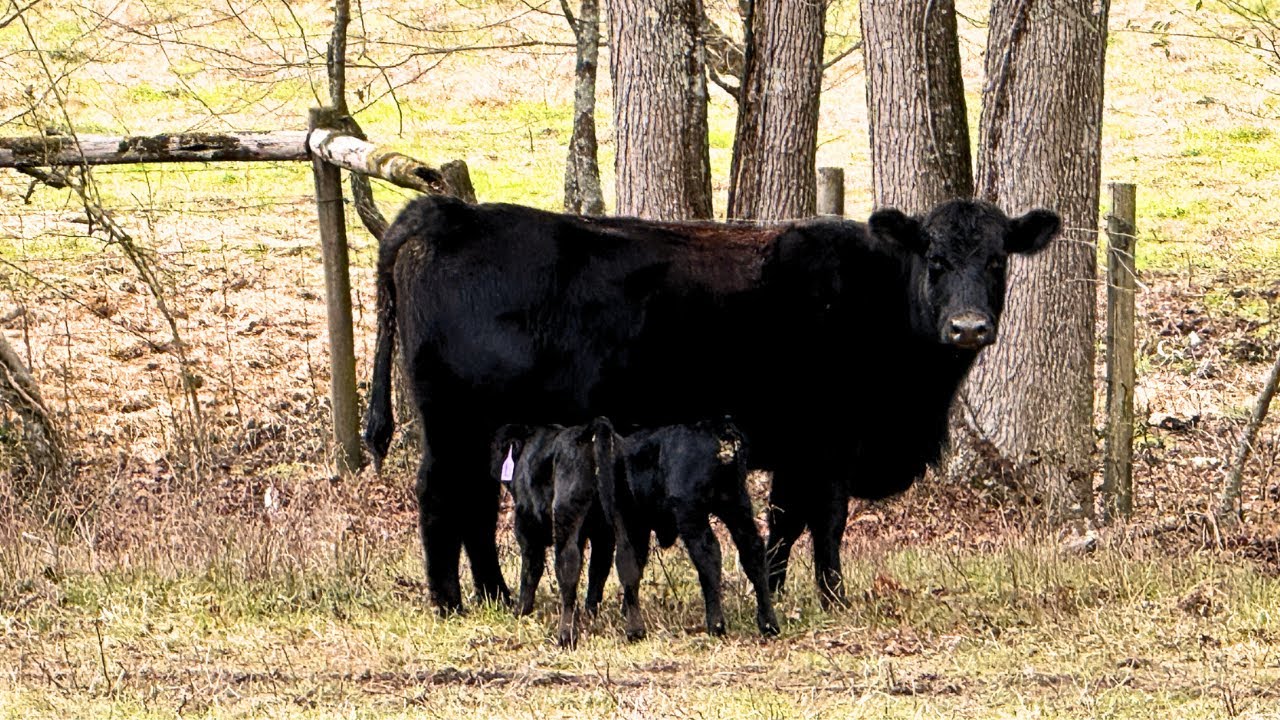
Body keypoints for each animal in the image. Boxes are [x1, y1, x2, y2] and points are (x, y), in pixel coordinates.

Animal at [364, 194, 1059, 613]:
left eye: (997, 260)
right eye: (935, 259)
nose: (968, 327)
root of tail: (450, 213)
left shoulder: (796, 449)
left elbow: (784, 522)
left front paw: (773, 589)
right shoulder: (831, 441)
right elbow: (827, 522)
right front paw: (832, 597)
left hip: (484, 430)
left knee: (476, 505)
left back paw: (494, 595)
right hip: (455, 422)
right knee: (444, 497)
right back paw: (451, 600)